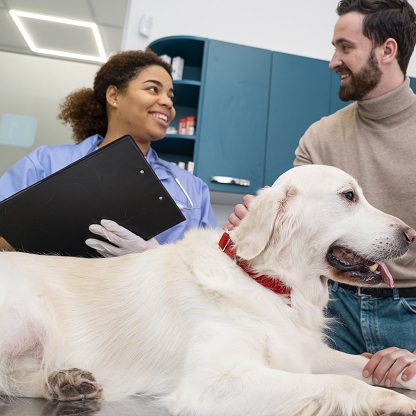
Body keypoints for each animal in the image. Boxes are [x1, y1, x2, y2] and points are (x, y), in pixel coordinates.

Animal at [0, 164, 416, 414]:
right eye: (349, 196)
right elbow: (340, 383)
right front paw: (391, 401)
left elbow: (355, 364)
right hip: (25, 316)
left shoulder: (306, 354)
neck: (267, 283)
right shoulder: (216, 382)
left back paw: (66, 382)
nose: (411, 234)